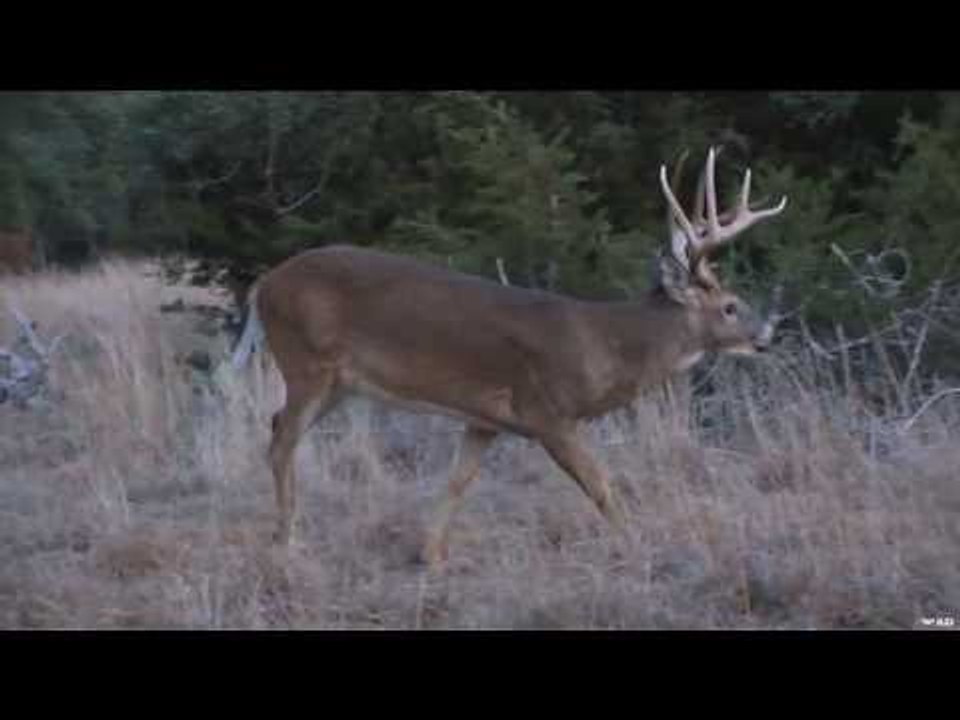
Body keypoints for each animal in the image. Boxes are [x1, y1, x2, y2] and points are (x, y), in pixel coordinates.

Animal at [230, 147, 788, 566]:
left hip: (338, 383)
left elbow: (458, 481)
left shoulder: (486, 418)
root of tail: (264, 286)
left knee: (276, 426)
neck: (604, 345)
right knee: (281, 440)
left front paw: (430, 556)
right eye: (730, 305)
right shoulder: (548, 411)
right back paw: (289, 541)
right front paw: (638, 548)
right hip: (307, 361)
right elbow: (602, 487)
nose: (768, 332)